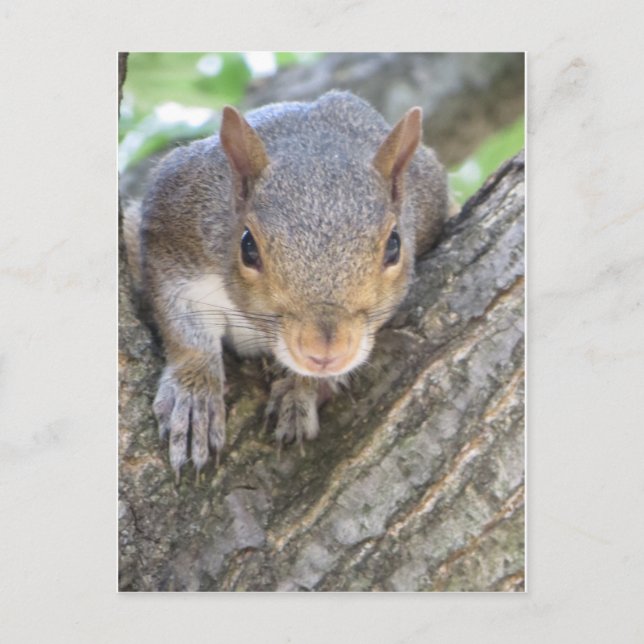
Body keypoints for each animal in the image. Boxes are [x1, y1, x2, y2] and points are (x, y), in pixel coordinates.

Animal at [124, 90, 448, 481]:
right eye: (248, 247)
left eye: (394, 246)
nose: (325, 351)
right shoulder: (176, 226)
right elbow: (185, 329)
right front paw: (194, 398)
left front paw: (300, 389)